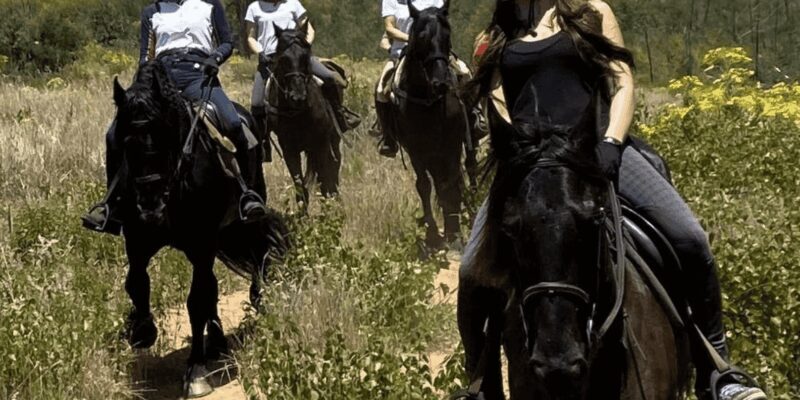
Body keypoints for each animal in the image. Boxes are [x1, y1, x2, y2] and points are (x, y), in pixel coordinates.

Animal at [110, 61, 288, 398]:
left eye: (166, 136)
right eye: (126, 143)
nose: (151, 207)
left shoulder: (202, 242)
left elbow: (196, 301)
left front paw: (195, 371)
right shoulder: (138, 241)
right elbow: (136, 283)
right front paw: (142, 330)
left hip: (239, 222)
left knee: (253, 255)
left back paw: (255, 303)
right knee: (214, 286)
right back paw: (217, 343)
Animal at [268, 25, 343, 210]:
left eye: (305, 57)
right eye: (283, 59)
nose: (298, 97)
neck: (299, 115)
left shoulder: (321, 145)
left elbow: (325, 182)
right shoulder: (289, 150)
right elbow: (300, 189)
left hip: (333, 141)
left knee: (334, 169)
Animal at [386, 0, 469, 249]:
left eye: (447, 34)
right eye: (421, 37)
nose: (441, 82)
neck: (427, 100)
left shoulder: (452, 145)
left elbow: (450, 183)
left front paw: (455, 233)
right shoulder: (417, 150)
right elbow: (424, 186)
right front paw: (433, 232)